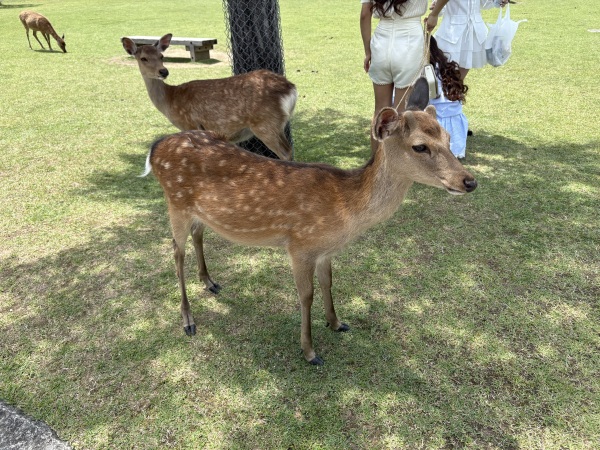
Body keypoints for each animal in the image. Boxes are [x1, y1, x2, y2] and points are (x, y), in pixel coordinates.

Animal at [121, 33, 296, 161]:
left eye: (161, 56)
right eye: (143, 58)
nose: (163, 71)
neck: (170, 100)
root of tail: (291, 89)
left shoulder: (191, 124)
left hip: (265, 123)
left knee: (286, 152)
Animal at [141, 78, 477, 365]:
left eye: (448, 137)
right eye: (419, 146)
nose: (469, 181)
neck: (345, 211)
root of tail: (156, 148)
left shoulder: (325, 250)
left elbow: (328, 282)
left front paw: (337, 322)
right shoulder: (300, 245)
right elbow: (306, 296)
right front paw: (309, 351)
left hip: (197, 211)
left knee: (198, 235)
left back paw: (209, 281)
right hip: (175, 202)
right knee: (176, 252)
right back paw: (188, 320)